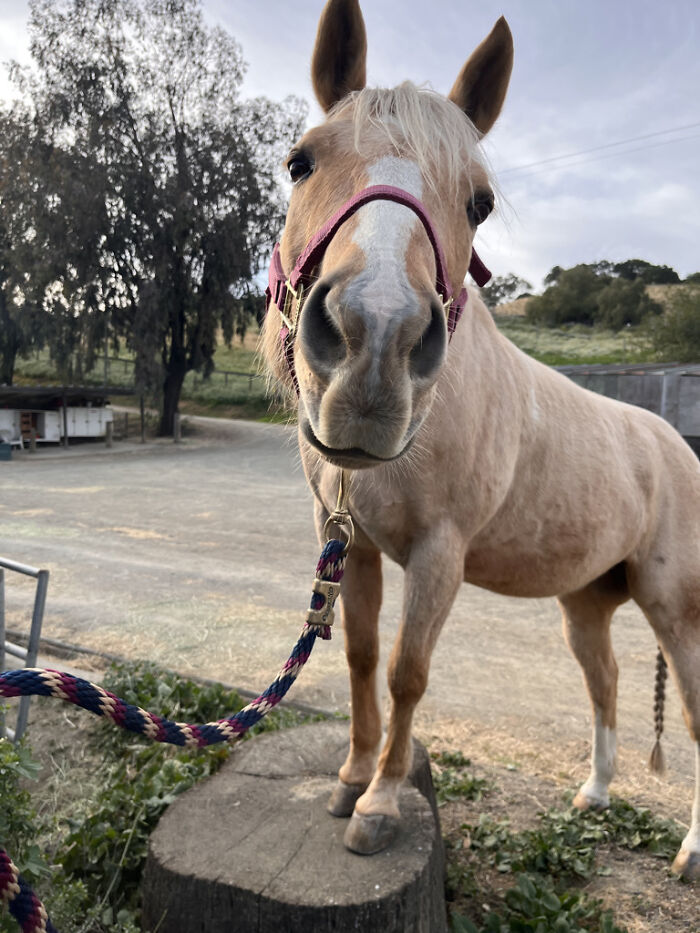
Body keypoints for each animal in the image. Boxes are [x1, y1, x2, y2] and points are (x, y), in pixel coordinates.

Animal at [261, 0, 700, 880]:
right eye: (301, 162)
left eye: (481, 203)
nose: (375, 342)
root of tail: (676, 444)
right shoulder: (351, 544)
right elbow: (361, 656)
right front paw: (351, 775)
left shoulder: (440, 552)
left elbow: (408, 673)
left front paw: (380, 803)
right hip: (587, 602)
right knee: (604, 682)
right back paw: (595, 792)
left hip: (678, 610)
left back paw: (691, 849)